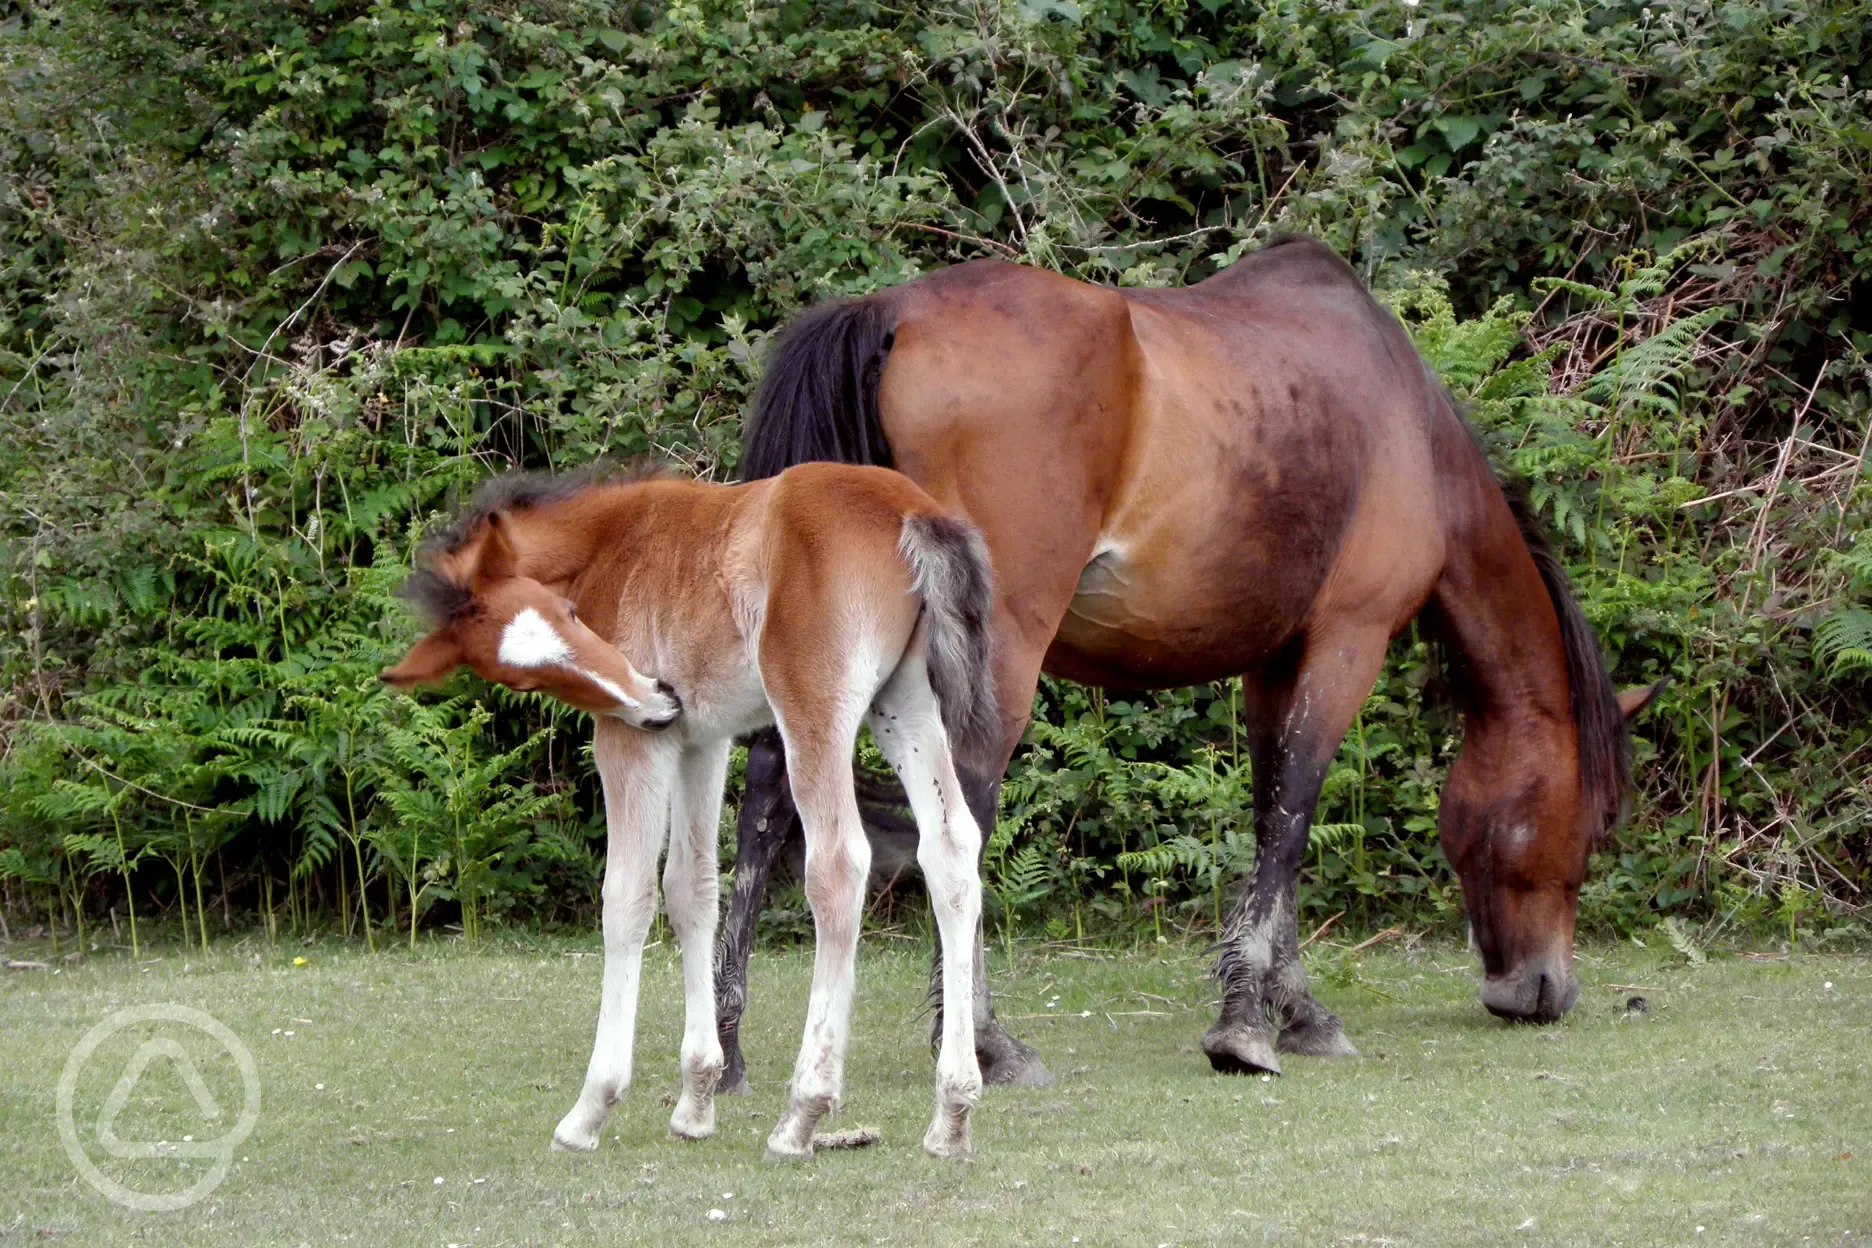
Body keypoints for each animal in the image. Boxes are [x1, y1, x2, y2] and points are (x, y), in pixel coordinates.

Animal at [383, 465, 1010, 1160]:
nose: (657, 697)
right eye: (522, 680)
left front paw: (591, 1109)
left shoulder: (632, 741)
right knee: (950, 850)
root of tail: (907, 509)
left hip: (814, 707)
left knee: (840, 864)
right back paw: (952, 1112)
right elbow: (692, 889)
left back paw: (803, 1112)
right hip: (905, 703)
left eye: (570, 614)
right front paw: (696, 1101)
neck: (610, 541)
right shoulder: (703, 740)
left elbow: (626, 899)